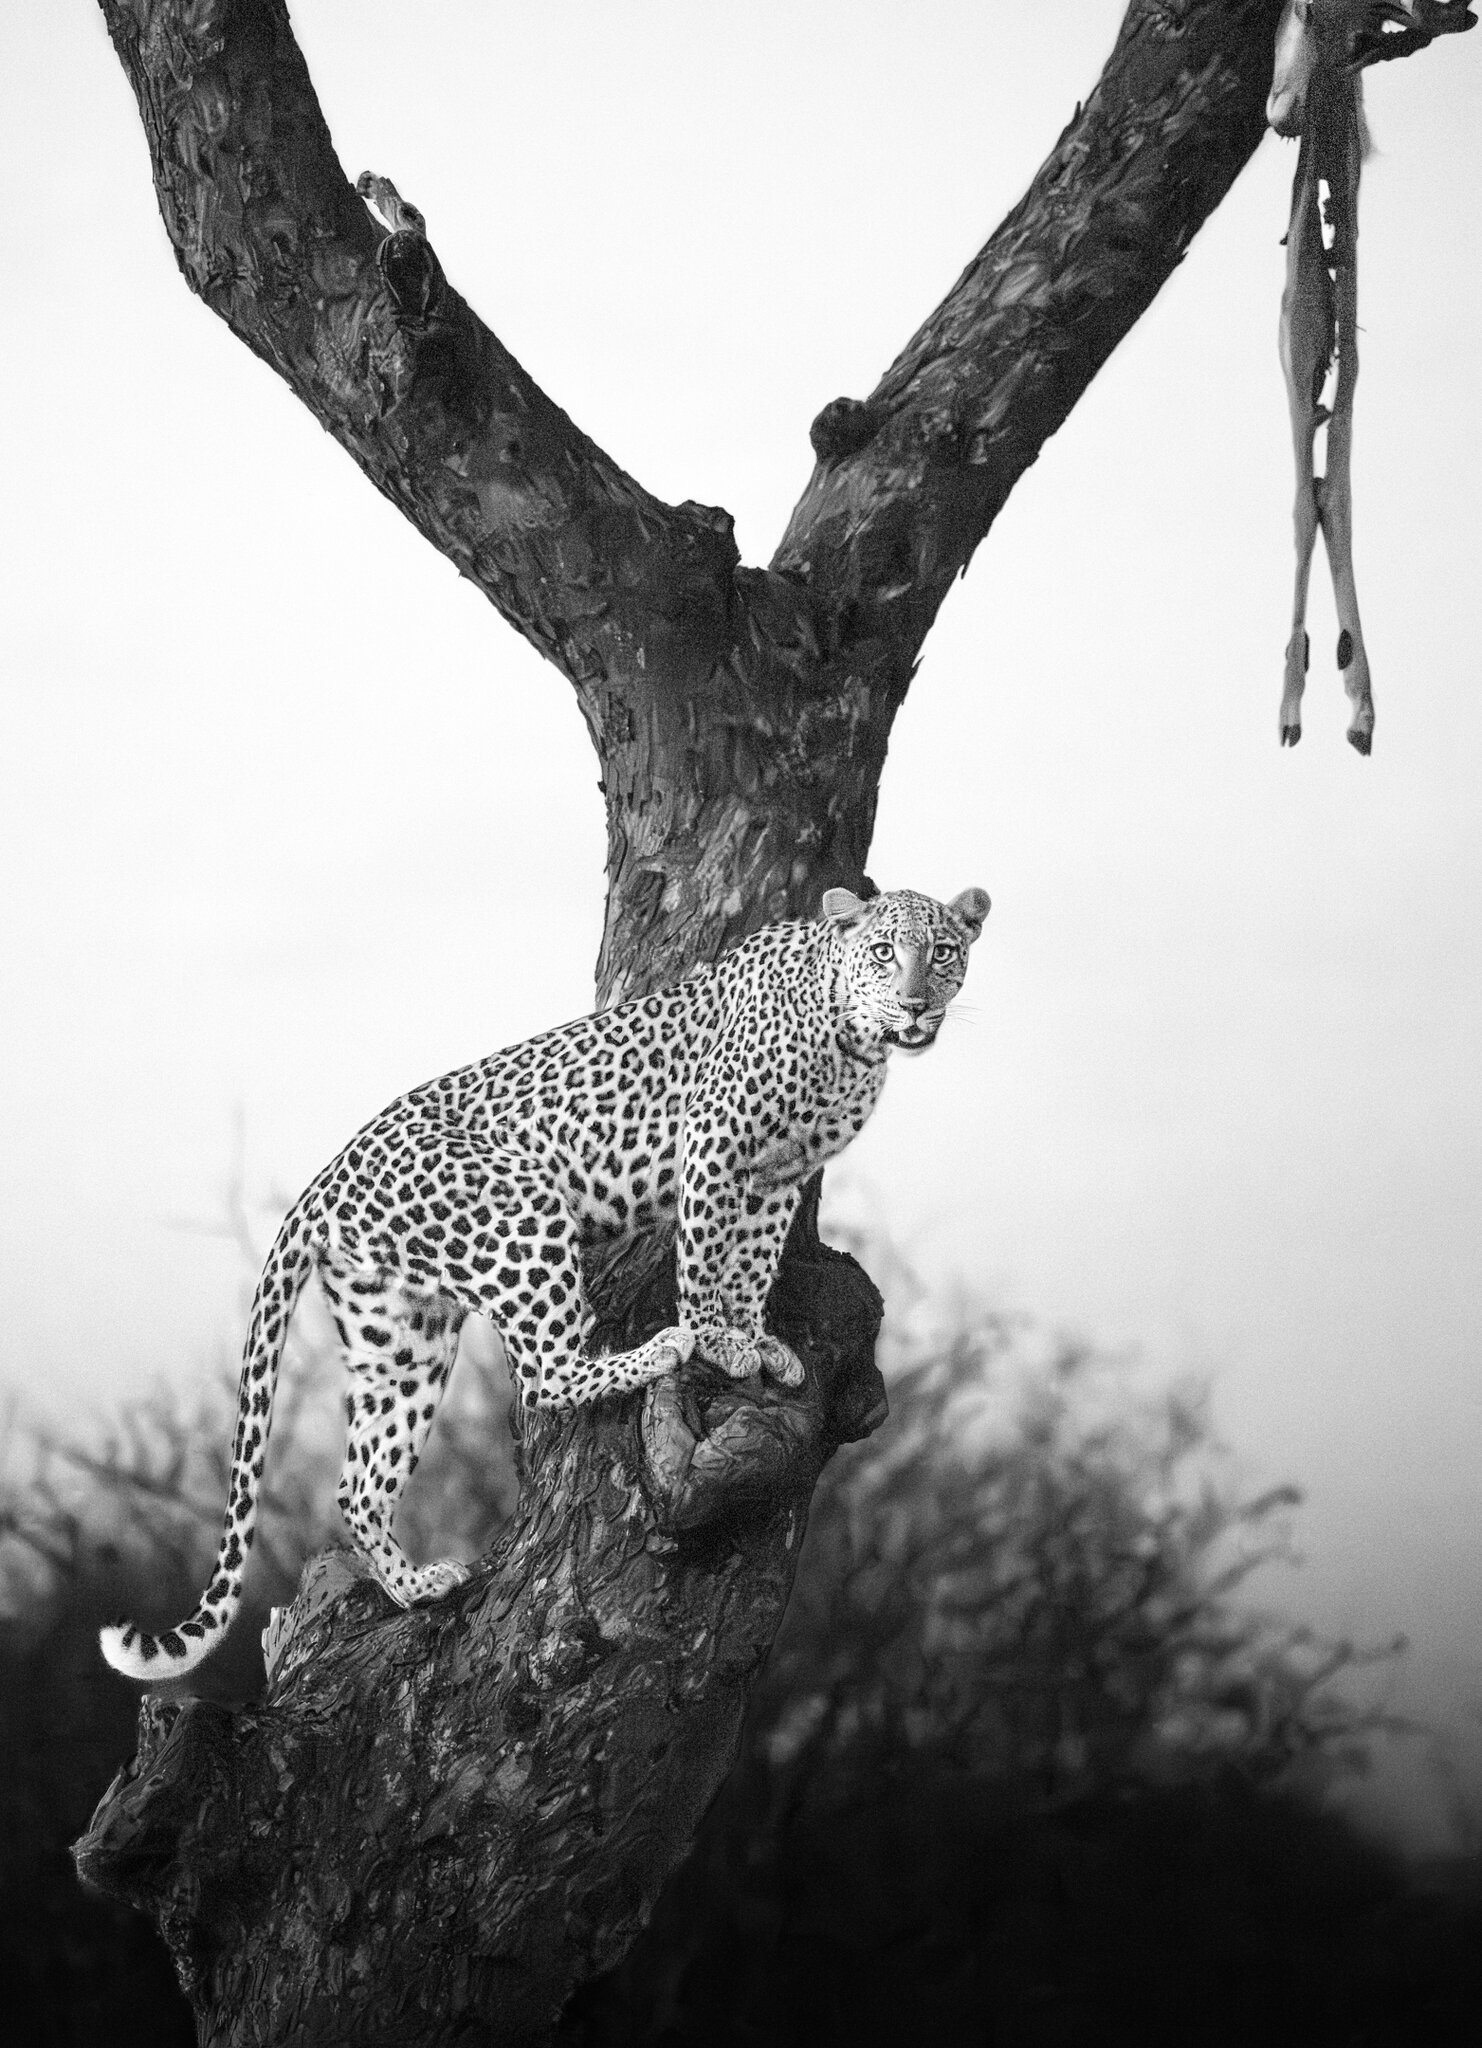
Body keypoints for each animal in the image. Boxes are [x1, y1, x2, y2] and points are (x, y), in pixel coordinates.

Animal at [100, 883, 989, 1680]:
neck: (851, 1042)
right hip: (523, 1205)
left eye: (943, 952)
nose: (915, 1004)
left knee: (359, 1481)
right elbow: (707, 1256)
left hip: (401, 1332)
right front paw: (717, 1340)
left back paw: (416, 1586)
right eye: (886, 953)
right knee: (542, 1377)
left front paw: (757, 1338)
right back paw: (653, 1351)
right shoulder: (715, 1146)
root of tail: (322, 1179)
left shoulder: (777, 1177)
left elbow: (755, 1261)